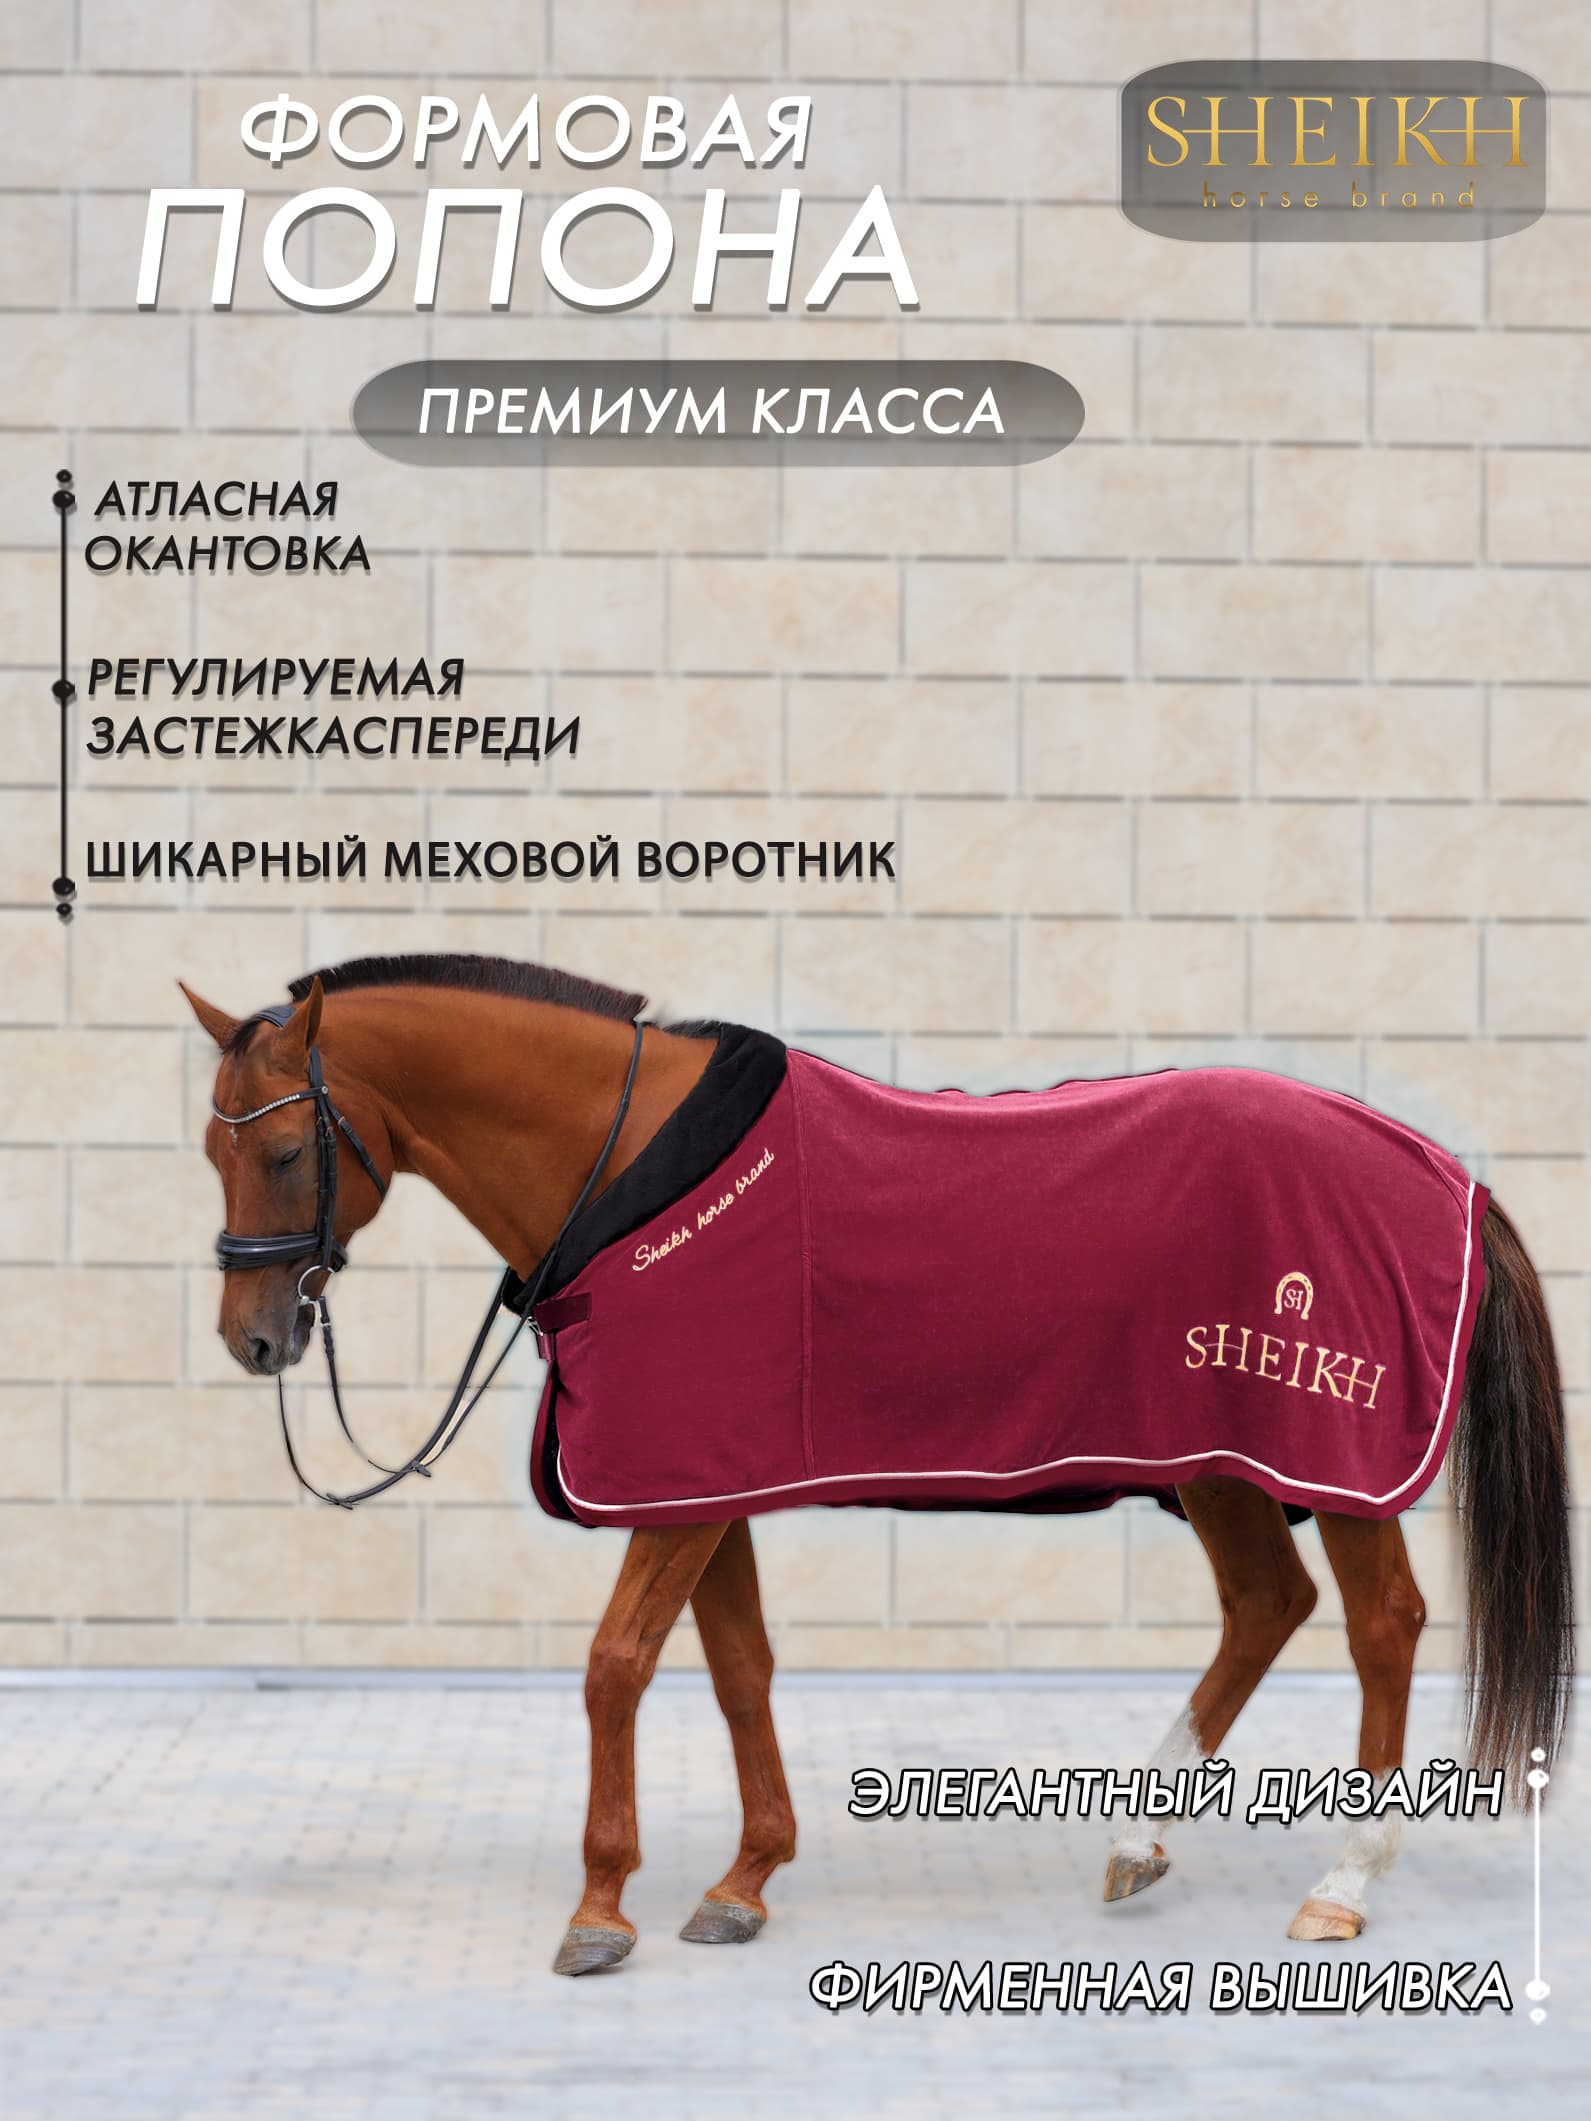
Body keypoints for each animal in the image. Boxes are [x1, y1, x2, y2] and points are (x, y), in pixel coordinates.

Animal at [182, 952, 1575, 1977]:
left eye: (290, 1152)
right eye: (211, 1151)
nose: (254, 1339)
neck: (626, 1163)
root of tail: (1435, 1169)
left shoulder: (678, 1493)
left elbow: (616, 1668)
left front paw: (599, 1909)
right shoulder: (706, 1484)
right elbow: (738, 1670)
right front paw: (744, 1881)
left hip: (1329, 1461)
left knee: (1381, 1627)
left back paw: (1342, 1884)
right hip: (1218, 1460)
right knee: (1266, 1605)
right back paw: (1141, 1839)